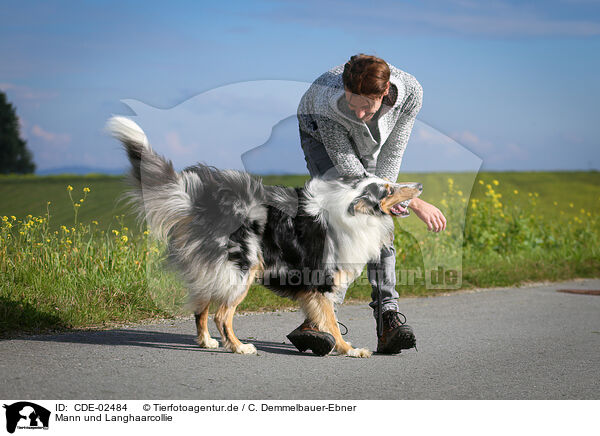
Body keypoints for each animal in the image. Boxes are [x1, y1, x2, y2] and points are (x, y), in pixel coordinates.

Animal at [108, 116, 424, 358]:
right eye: (388, 190)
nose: (419, 185)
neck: (353, 209)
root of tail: (202, 201)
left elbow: (324, 319)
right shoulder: (321, 281)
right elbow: (332, 322)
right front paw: (350, 350)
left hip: (217, 270)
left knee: (201, 309)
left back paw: (208, 342)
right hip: (241, 269)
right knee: (221, 315)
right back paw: (239, 347)